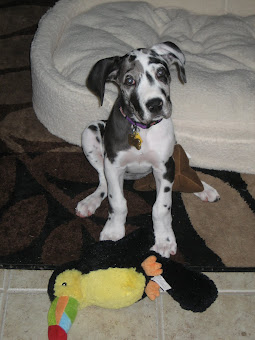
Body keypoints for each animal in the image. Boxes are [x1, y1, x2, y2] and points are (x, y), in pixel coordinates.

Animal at [75, 41, 219, 256]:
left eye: (161, 73)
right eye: (129, 80)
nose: (155, 104)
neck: (143, 130)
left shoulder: (164, 167)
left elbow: (161, 207)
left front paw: (164, 240)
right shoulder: (113, 165)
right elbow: (117, 201)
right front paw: (113, 231)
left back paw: (204, 189)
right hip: (90, 133)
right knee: (102, 182)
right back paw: (89, 202)